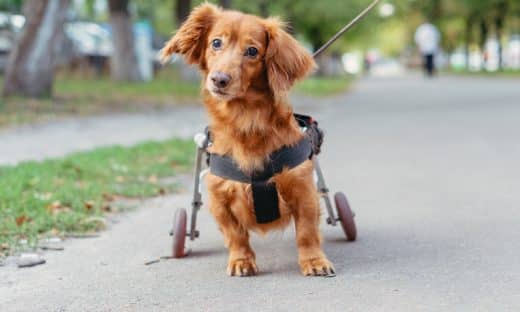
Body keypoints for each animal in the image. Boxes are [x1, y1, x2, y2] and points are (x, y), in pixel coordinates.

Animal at [160, 2, 336, 276]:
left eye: (252, 51)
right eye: (216, 43)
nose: (219, 79)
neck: (247, 122)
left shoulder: (303, 191)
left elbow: (306, 232)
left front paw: (314, 261)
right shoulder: (219, 197)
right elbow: (235, 234)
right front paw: (241, 260)